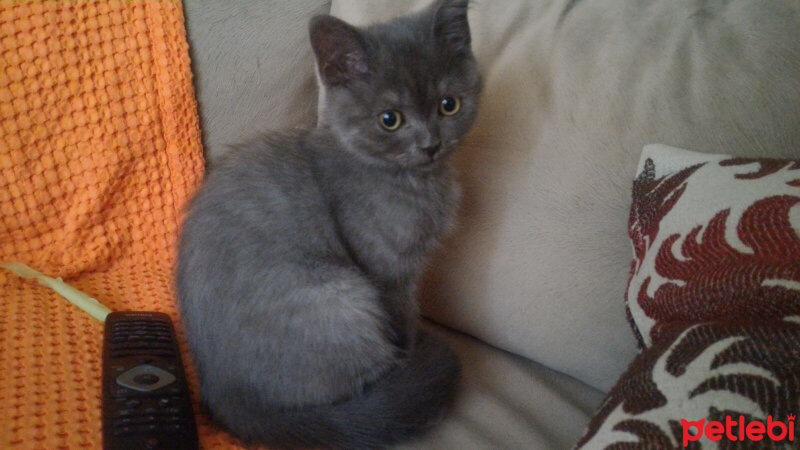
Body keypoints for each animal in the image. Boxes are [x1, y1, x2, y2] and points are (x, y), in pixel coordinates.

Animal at [177, 1, 478, 448]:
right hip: (342, 298)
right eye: (389, 119)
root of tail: (224, 397)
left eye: (449, 104)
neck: (413, 182)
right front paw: (411, 353)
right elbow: (403, 320)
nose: (431, 145)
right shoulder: (388, 274)